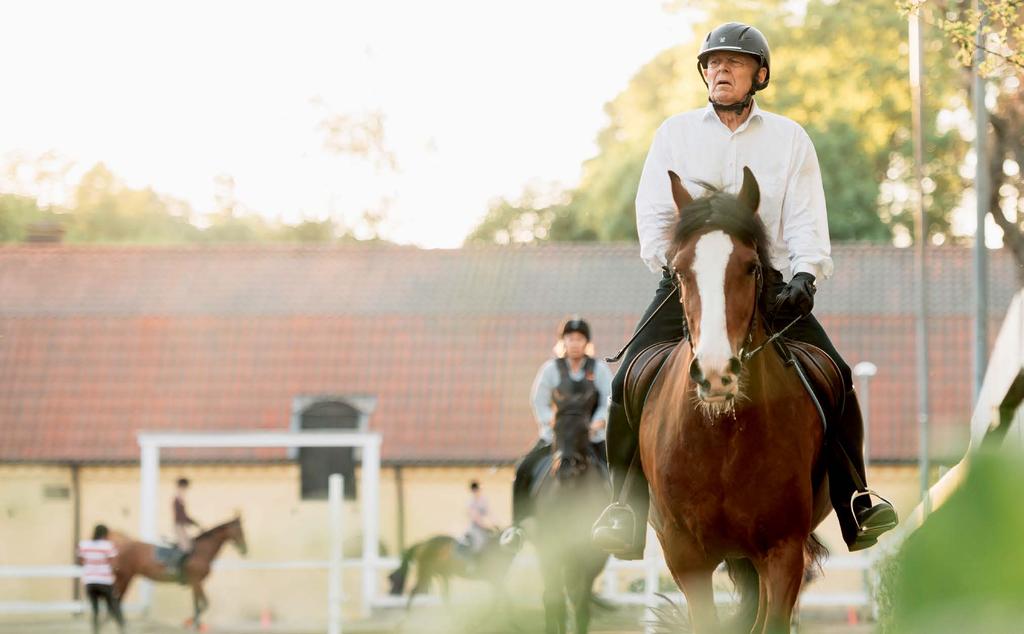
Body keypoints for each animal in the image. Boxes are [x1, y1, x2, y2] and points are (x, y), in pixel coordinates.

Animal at [112, 518, 247, 630]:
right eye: (239, 530)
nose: (244, 549)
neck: (200, 552)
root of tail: (122, 547)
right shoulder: (197, 582)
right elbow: (204, 604)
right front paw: (191, 624)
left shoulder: (195, 584)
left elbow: (197, 605)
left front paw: (195, 625)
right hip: (125, 577)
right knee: (116, 601)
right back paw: (120, 624)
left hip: (124, 578)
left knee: (115, 601)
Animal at [532, 391, 610, 634]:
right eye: (555, 428)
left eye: (584, 430)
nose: (566, 469)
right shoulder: (550, 549)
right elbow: (554, 599)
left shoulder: (592, 555)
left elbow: (581, 602)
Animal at [638, 170, 831, 634]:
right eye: (679, 271)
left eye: (751, 267)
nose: (715, 373)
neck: (723, 434)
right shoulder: (685, 556)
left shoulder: (783, 551)